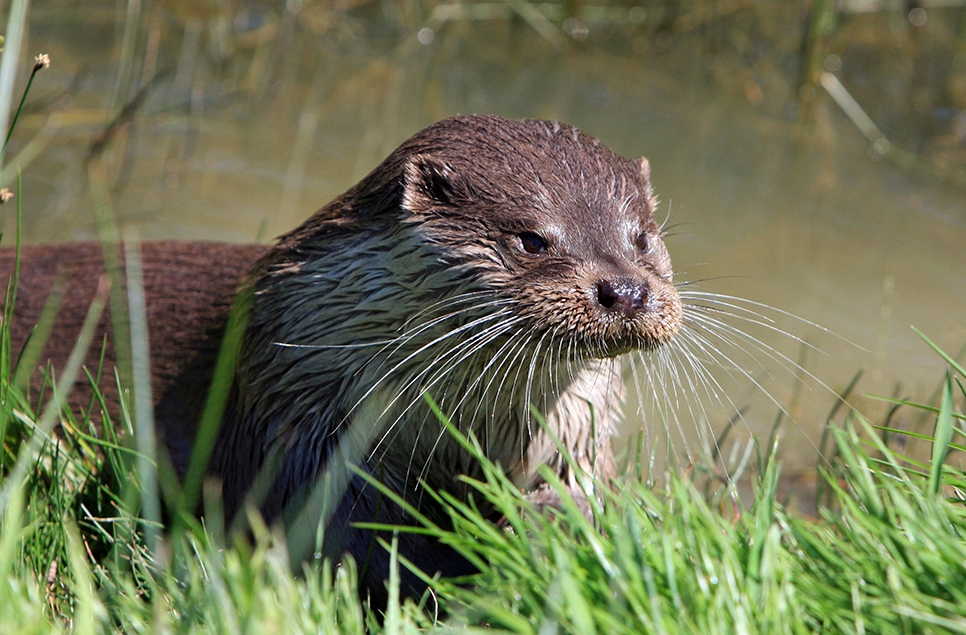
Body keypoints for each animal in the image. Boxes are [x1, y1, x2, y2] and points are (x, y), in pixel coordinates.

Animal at [0, 115, 684, 608]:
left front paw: (558, 526)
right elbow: (347, 536)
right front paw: (469, 566)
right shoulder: (296, 424)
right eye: (532, 239)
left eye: (642, 237)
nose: (626, 290)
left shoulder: (576, 428)